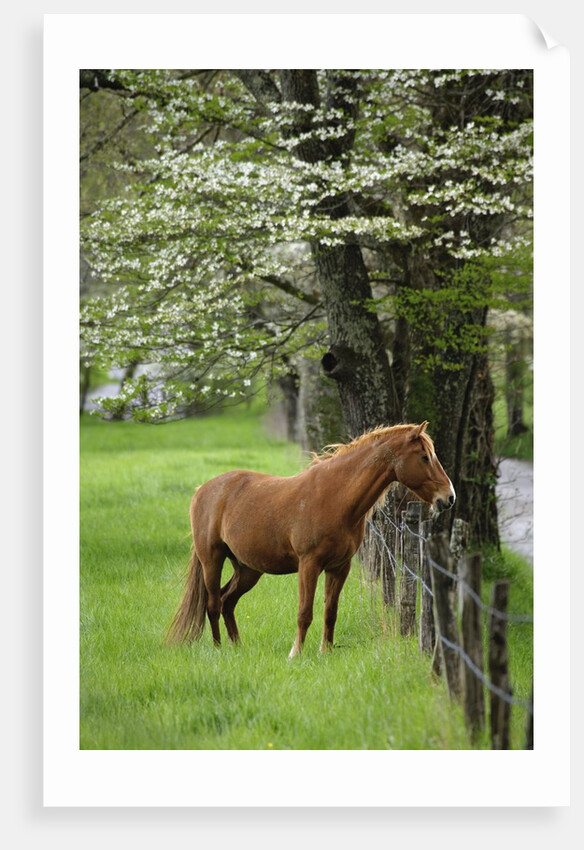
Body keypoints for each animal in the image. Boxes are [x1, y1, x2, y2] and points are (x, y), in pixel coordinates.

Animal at [166, 421, 455, 659]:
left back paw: (237, 647)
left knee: (227, 602)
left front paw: (325, 651)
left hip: (248, 569)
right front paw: (296, 653)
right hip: (212, 560)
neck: (336, 497)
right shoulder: (309, 565)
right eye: (425, 457)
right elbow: (304, 613)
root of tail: (203, 490)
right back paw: (218, 649)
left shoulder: (339, 568)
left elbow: (330, 612)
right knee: (213, 604)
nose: (449, 497)